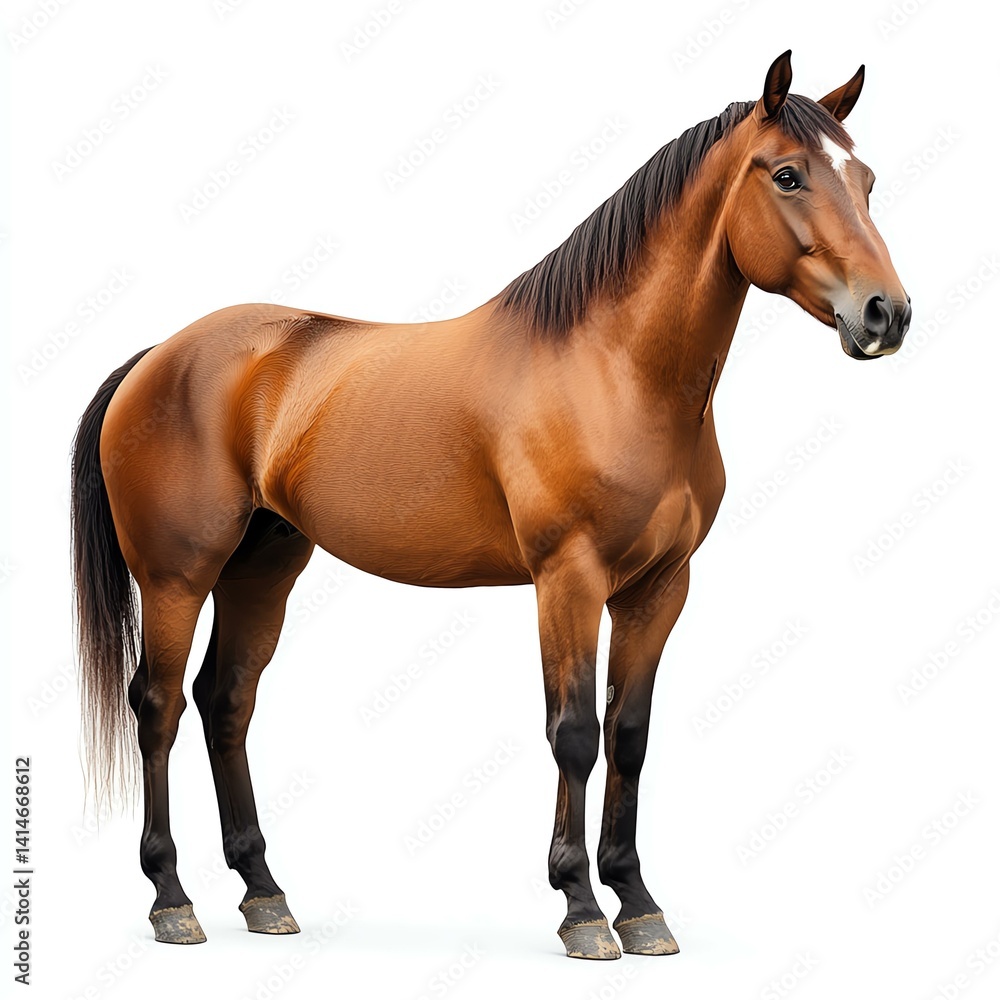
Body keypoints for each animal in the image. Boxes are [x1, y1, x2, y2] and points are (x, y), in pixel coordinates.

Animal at [70, 50, 910, 959]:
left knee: (227, 702)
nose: (885, 312)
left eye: (865, 179)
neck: (614, 369)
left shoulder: (660, 587)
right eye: (787, 174)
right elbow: (573, 733)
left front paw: (638, 902)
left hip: (264, 566)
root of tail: (162, 354)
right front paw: (581, 908)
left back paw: (263, 892)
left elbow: (631, 735)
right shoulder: (567, 579)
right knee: (158, 708)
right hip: (177, 577)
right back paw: (171, 899)